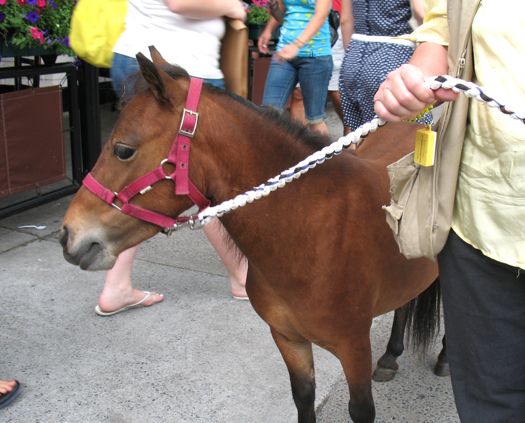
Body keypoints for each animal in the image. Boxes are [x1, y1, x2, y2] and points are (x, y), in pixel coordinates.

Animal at [60, 53, 438, 423]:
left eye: (123, 150)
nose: (67, 234)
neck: (310, 228)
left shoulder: (354, 346)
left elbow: (360, 410)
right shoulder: (288, 338)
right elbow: (304, 398)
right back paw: (391, 356)